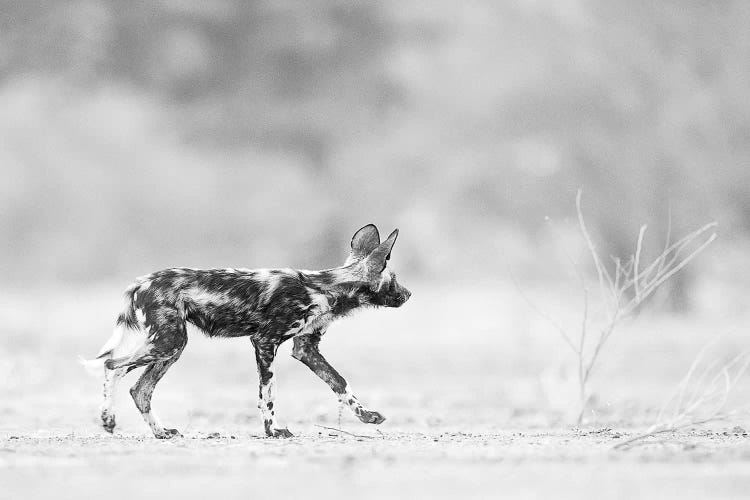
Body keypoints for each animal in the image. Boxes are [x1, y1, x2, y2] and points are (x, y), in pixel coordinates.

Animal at [82, 225, 412, 440]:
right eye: (395, 280)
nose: (408, 295)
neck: (325, 288)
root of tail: (142, 281)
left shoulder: (305, 349)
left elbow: (340, 384)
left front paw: (367, 416)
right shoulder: (265, 342)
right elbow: (269, 393)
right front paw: (272, 430)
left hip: (172, 347)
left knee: (140, 390)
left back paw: (161, 432)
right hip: (169, 343)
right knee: (112, 365)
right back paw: (108, 420)